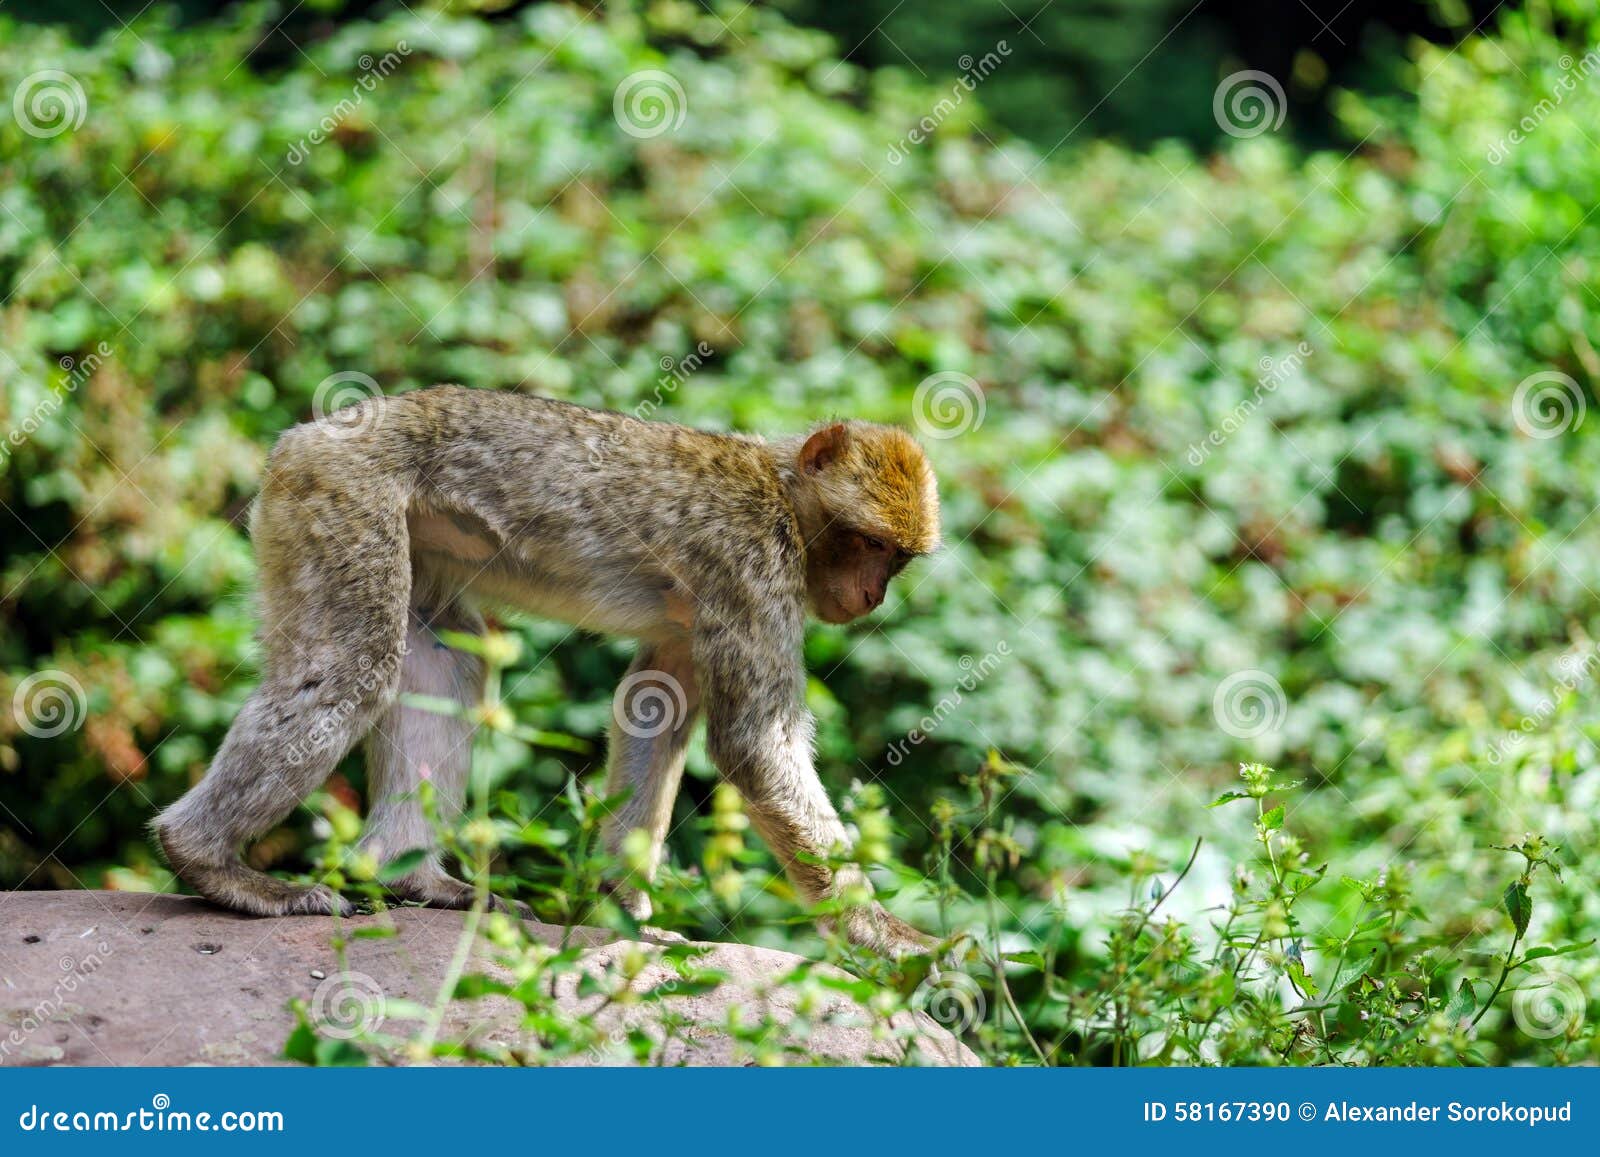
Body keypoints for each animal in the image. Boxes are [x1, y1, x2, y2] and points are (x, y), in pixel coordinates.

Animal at [151, 387, 940, 960]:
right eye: (867, 543)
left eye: (896, 558)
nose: (872, 595)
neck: (785, 499)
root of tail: (313, 434)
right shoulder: (752, 568)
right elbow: (753, 743)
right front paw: (885, 935)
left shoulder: (697, 621)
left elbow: (653, 707)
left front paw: (624, 910)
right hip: (339, 499)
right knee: (352, 666)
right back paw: (211, 862)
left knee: (446, 655)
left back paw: (416, 877)